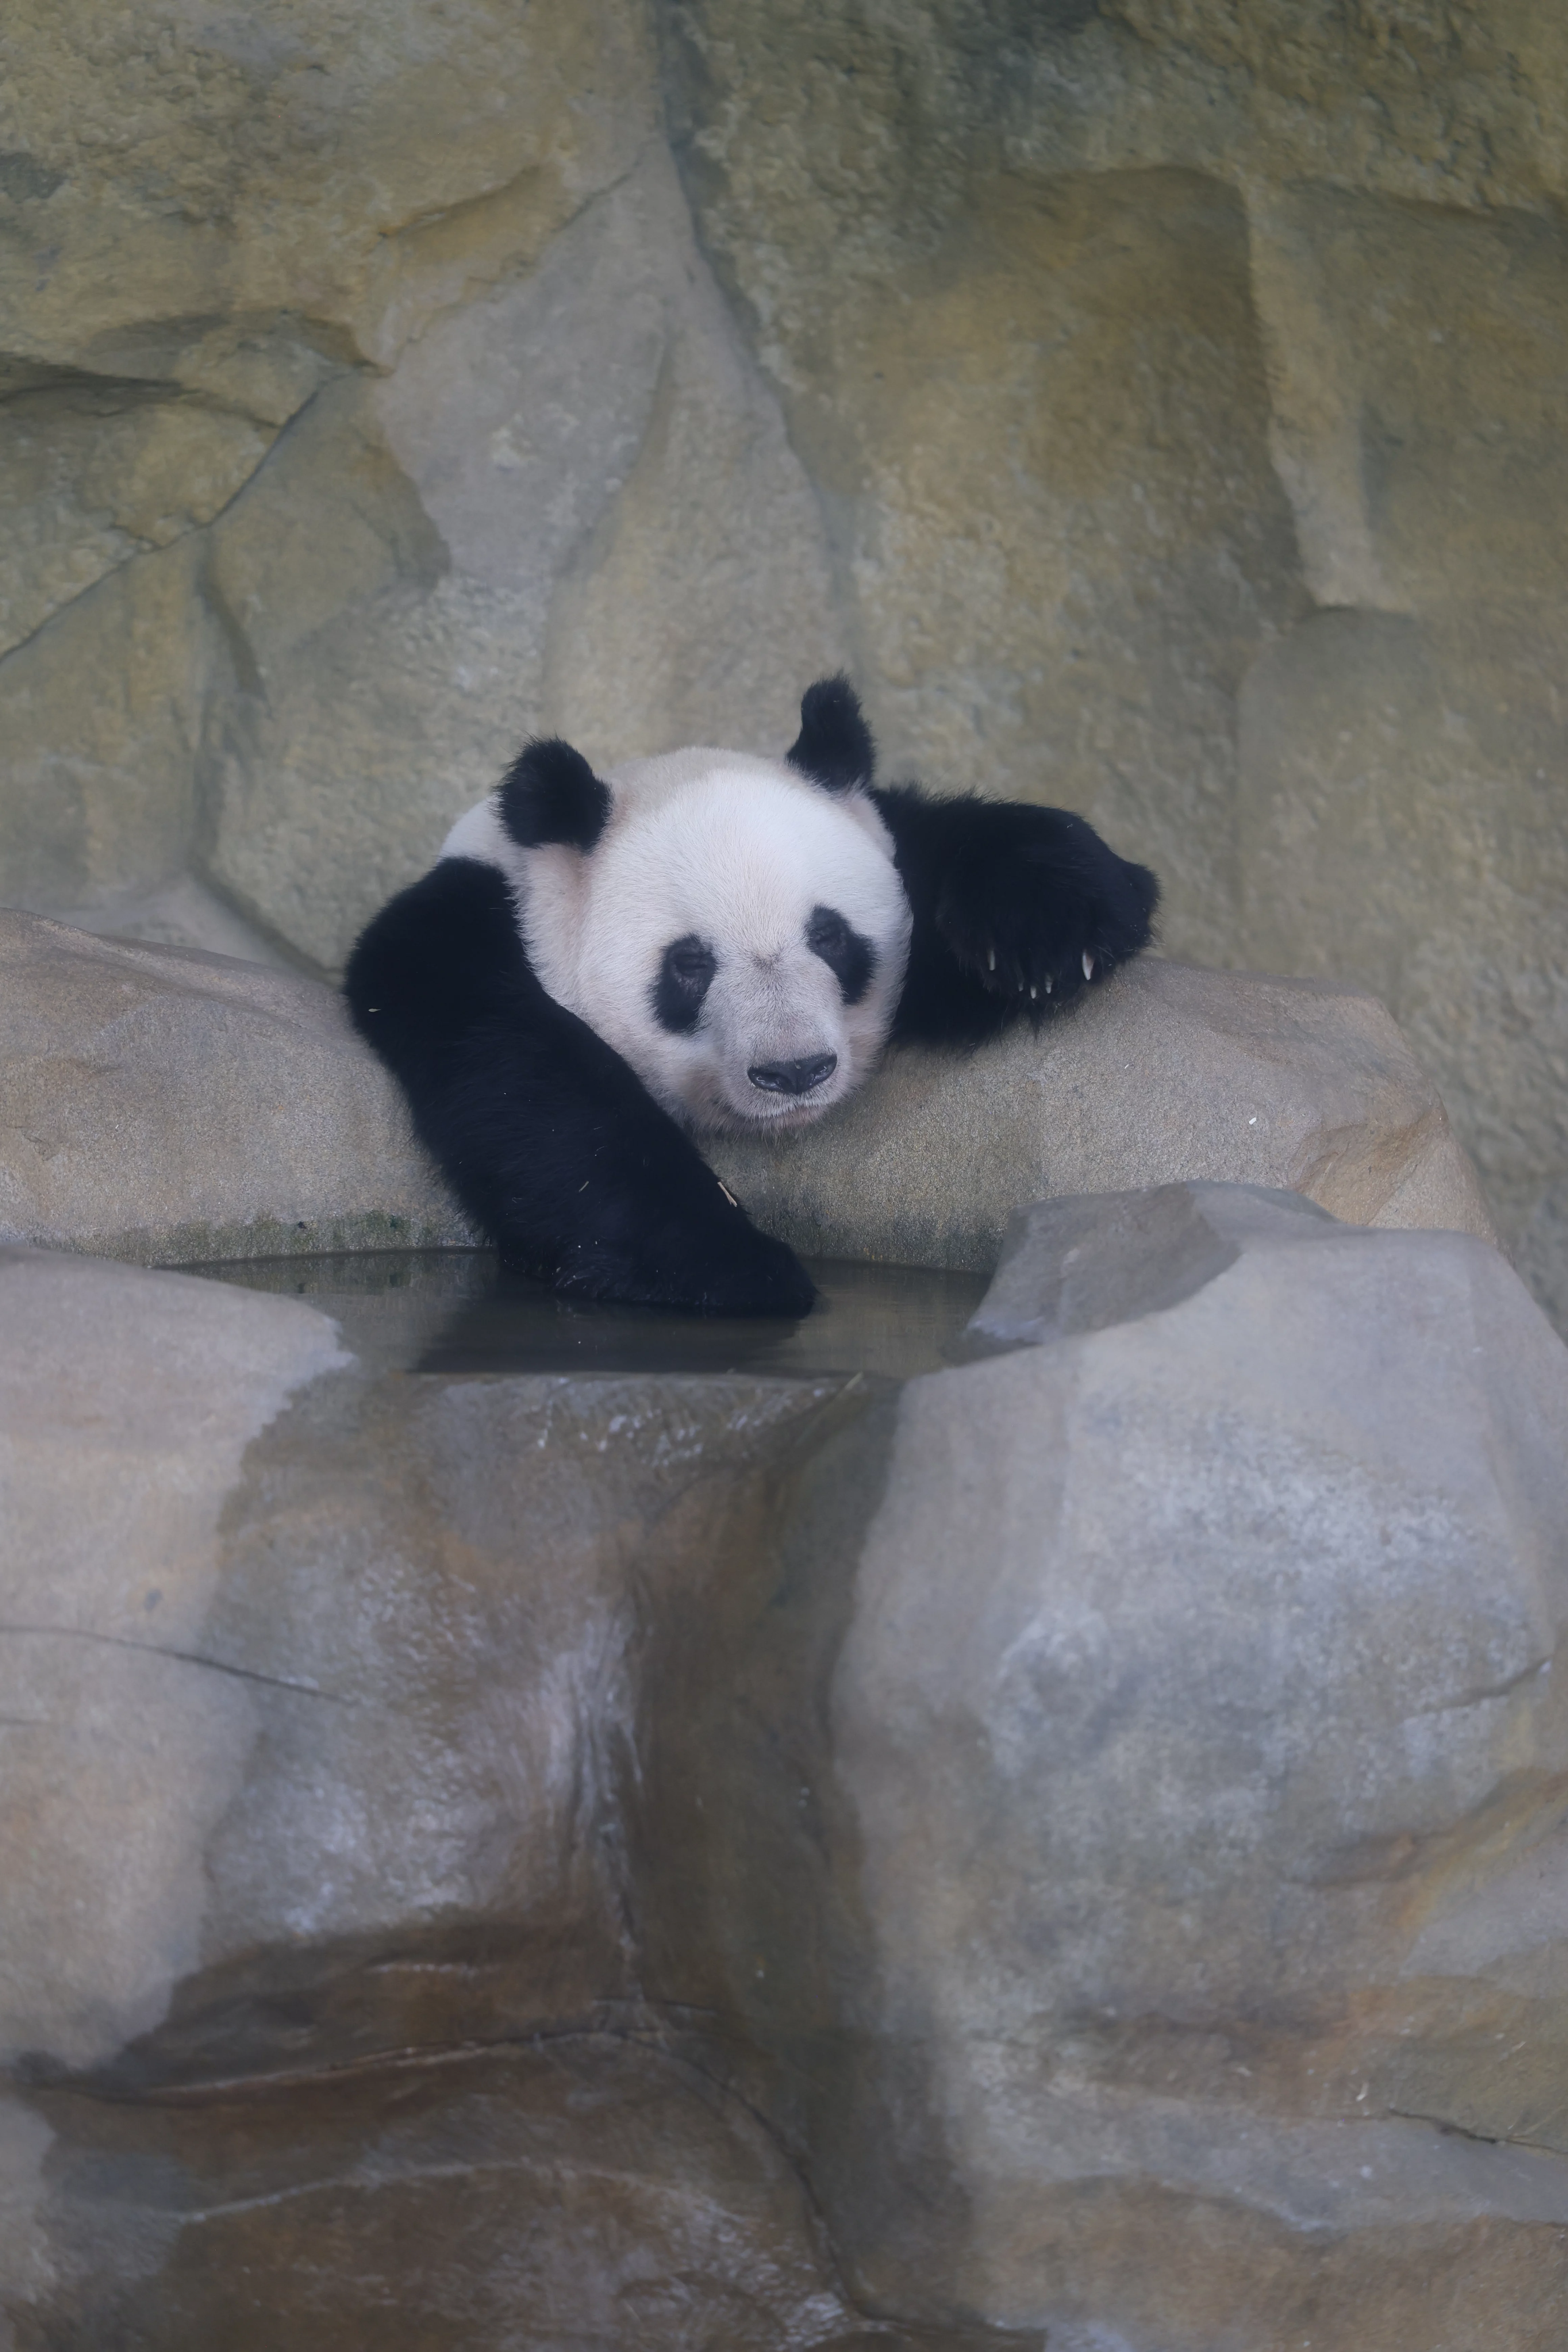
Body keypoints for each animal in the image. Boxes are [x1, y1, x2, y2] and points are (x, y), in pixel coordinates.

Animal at [345, 676, 1158, 1316]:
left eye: (830, 936)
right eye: (689, 965)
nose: (795, 1072)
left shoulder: (890, 847)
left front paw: (1051, 933)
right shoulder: (454, 944)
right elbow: (533, 1088)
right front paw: (729, 1263)